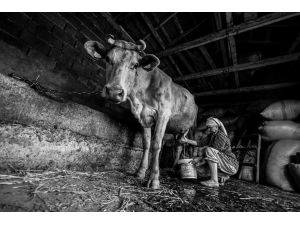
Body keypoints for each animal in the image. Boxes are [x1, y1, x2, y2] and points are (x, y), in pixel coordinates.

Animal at [83, 35, 198, 189]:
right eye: (107, 58)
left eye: (135, 65)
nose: (114, 91)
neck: (139, 97)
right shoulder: (144, 117)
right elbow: (146, 144)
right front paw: (140, 172)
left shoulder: (163, 113)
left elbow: (156, 144)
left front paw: (154, 179)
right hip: (178, 129)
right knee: (178, 146)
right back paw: (174, 168)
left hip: (191, 127)